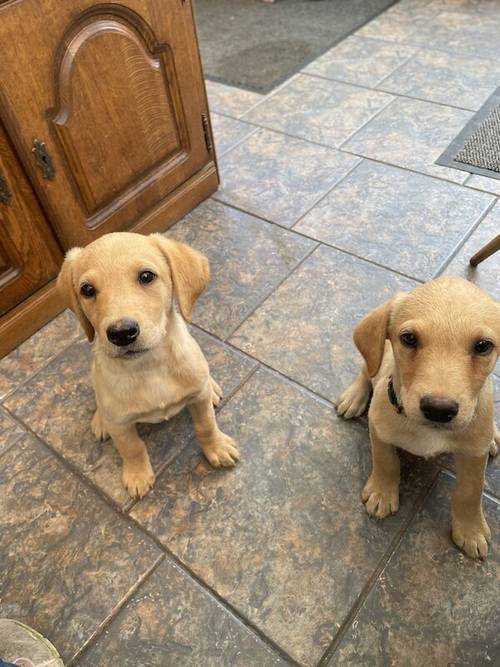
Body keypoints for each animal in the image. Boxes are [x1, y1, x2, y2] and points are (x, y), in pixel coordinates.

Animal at [57, 232, 239, 498]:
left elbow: (206, 425)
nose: (122, 333)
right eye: (87, 290)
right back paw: (100, 420)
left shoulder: (198, 398)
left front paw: (217, 447)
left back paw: (213, 388)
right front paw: (137, 475)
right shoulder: (121, 424)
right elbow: (132, 448)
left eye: (146, 276)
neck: (150, 366)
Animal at [338, 276, 498, 560]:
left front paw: (470, 529)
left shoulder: (474, 453)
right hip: (377, 358)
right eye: (409, 338)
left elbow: (471, 491)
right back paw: (354, 396)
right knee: (366, 370)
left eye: (483, 346)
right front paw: (382, 492)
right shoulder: (378, 427)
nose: (438, 409)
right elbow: (386, 461)